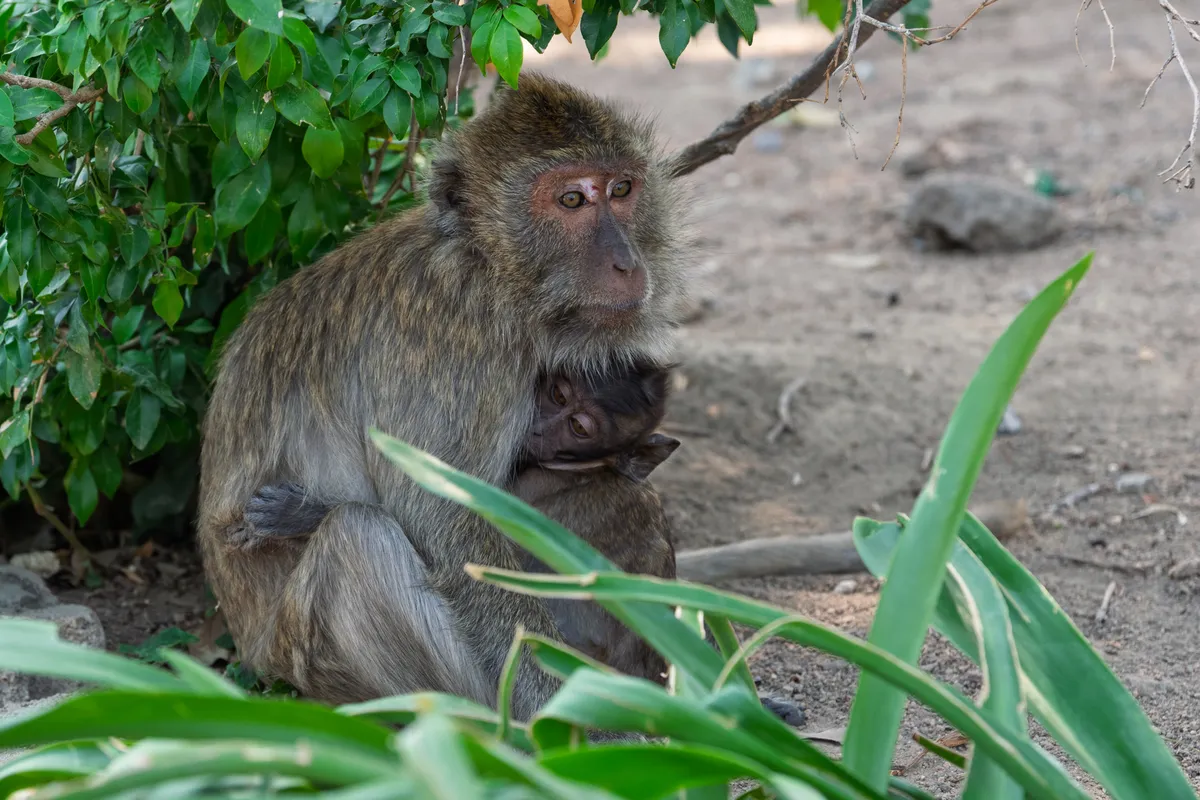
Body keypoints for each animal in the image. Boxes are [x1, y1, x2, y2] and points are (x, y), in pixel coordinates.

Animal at [196, 72, 693, 719]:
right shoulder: (462, 343)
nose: (626, 262)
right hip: (312, 660)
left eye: (622, 189)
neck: (486, 264)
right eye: (571, 201)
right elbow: (452, 528)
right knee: (359, 541)